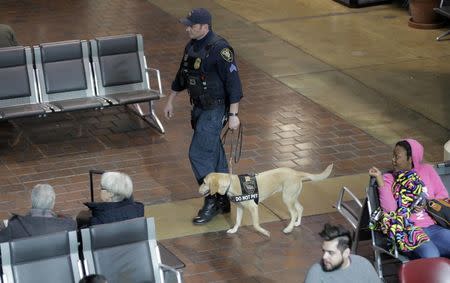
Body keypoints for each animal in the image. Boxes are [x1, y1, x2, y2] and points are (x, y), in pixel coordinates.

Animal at [199, 164, 332, 237]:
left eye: (204, 183)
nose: (198, 190)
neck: (231, 183)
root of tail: (296, 173)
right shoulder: (240, 207)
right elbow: (237, 221)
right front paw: (234, 230)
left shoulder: (254, 208)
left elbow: (255, 225)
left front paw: (265, 233)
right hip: (292, 197)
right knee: (300, 208)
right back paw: (297, 223)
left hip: (287, 198)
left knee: (294, 212)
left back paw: (288, 229)